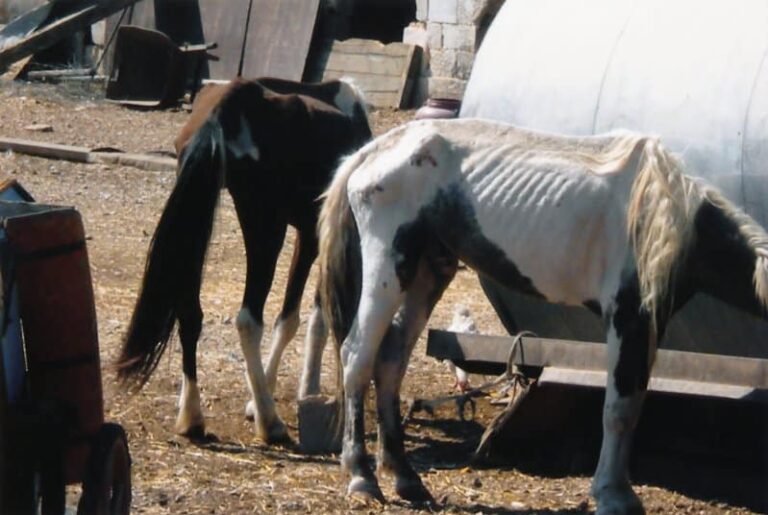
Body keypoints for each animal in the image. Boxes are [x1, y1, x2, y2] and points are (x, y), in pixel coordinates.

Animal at [117, 77, 372, 444]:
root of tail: (228, 105)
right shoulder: (313, 236)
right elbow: (301, 318)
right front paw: (288, 392)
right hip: (265, 226)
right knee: (249, 321)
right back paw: (270, 421)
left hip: (198, 218)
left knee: (189, 314)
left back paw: (191, 416)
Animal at [316, 118, 768, 515]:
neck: (668, 215)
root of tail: (369, 153)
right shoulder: (629, 318)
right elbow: (620, 410)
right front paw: (614, 495)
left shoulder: (648, 326)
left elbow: (633, 404)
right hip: (391, 270)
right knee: (357, 356)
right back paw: (361, 477)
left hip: (430, 272)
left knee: (390, 362)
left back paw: (406, 479)